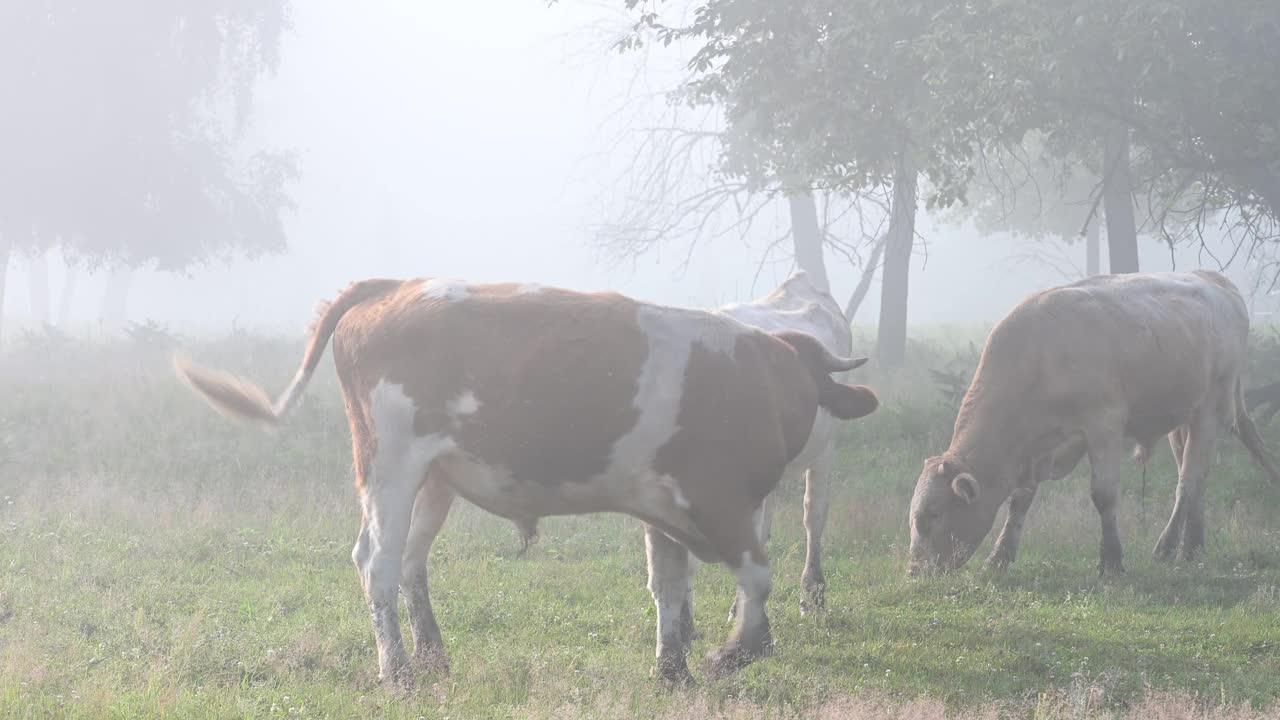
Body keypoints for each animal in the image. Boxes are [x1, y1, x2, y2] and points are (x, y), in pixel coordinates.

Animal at [172, 274, 880, 681]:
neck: (764, 379)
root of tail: (398, 285)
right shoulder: (720, 501)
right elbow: (757, 576)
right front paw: (738, 651)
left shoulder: (666, 509)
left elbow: (670, 588)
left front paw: (673, 668)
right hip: (389, 467)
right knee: (376, 563)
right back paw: (397, 670)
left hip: (435, 479)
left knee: (410, 564)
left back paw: (433, 654)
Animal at [906, 269, 1280, 576]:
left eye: (930, 516)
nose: (914, 570)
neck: (1039, 357)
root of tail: (1215, 280)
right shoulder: (1037, 448)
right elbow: (1019, 501)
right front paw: (999, 557)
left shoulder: (1103, 426)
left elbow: (1103, 495)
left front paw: (1111, 560)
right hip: (1181, 420)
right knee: (1196, 480)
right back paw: (1192, 548)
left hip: (1210, 410)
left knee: (1188, 481)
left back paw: (1167, 546)